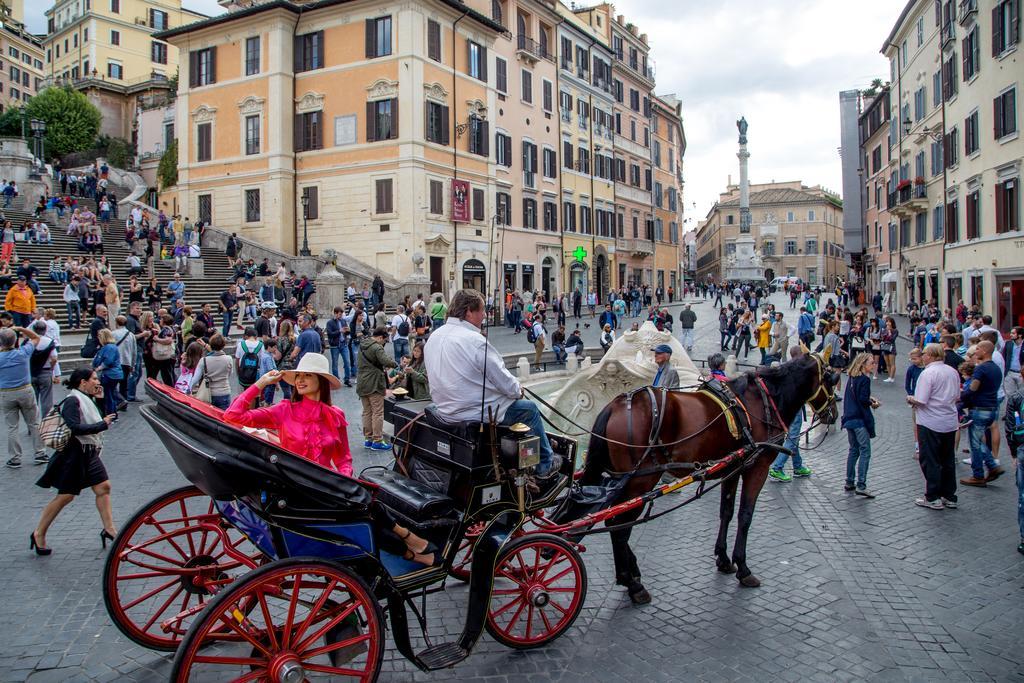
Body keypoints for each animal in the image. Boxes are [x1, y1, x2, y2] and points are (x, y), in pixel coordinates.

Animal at [581, 352, 835, 602]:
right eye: (832, 379)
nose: (833, 414)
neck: (766, 400)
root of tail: (615, 405)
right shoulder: (758, 467)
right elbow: (745, 515)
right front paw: (743, 568)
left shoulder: (733, 468)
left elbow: (727, 511)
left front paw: (723, 559)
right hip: (640, 480)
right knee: (619, 525)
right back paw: (632, 583)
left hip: (624, 479)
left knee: (613, 521)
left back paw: (632, 572)